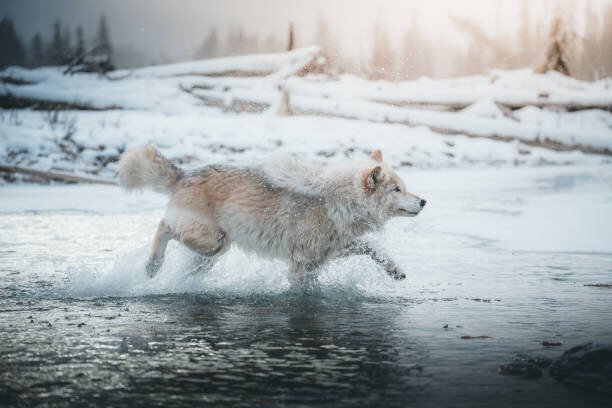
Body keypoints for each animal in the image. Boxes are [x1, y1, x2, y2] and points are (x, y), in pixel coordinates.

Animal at [118, 148, 426, 286]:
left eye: (404, 187)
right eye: (397, 189)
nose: (424, 201)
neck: (336, 201)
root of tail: (184, 174)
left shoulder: (331, 251)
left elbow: (374, 249)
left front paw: (396, 270)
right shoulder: (302, 264)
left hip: (210, 254)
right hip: (213, 241)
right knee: (163, 227)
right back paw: (152, 267)